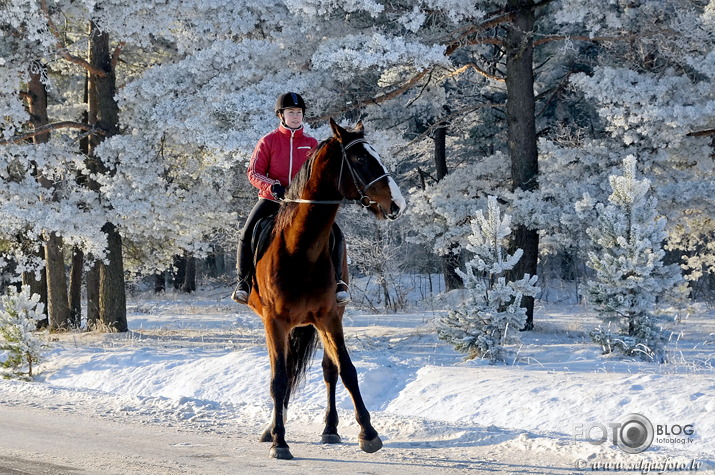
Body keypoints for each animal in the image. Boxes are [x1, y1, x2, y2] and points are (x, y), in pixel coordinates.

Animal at [248, 119, 406, 462]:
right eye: (360, 159)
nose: (398, 204)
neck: (301, 250)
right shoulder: (274, 322)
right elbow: (278, 379)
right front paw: (280, 441)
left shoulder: (330, 316)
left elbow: (346, 370)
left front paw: (368, 433)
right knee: (282, 372)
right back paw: (273, 428)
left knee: (327, 371)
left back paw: (330, 429)